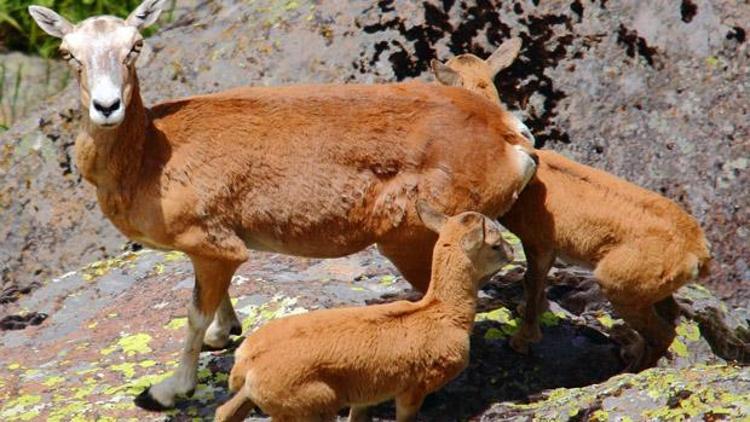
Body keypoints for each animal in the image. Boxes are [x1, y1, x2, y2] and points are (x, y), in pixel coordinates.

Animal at [214, 203, 516, 420]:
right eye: (494, 245)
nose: (512, 252)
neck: (441, 313)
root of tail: (246, 364)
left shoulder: (366, 395)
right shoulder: (413, 390)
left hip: (254, 398)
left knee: (223, 412)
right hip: (312, 407)